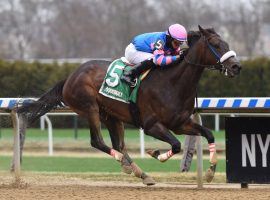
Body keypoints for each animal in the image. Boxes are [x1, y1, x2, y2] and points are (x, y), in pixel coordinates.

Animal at [17, 25, 242, 185]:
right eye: (215, 44)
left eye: (226, 42)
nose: (236, 66)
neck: (172, 83)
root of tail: (70, 77)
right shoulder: (152, 126)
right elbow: (176, 145)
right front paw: (155, 153)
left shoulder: (180, 123)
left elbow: (208, 134)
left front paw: (211, 172)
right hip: (90, 108)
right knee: (98, 142)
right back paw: (125, 163)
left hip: (111, 116)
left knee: (119, 144)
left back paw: (139, 172)